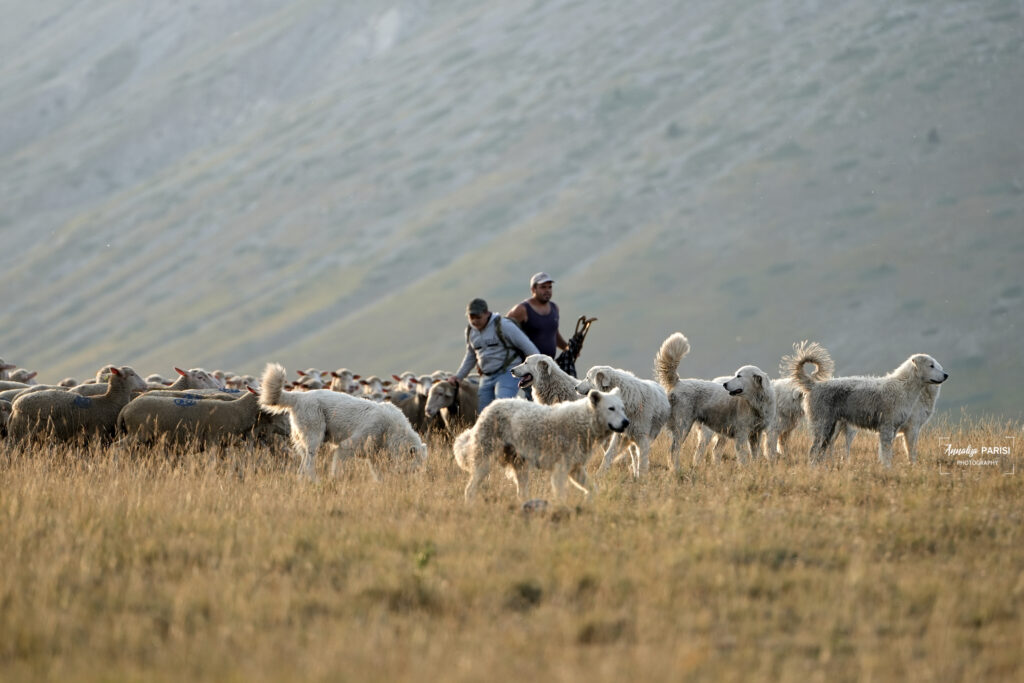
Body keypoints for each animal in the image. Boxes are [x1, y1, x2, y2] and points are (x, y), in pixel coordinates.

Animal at [7, 368, 140, 444]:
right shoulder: (97, 434)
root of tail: (14, 409)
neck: (110, 400)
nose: (143, 386)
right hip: (21, 437)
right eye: (132, 374)